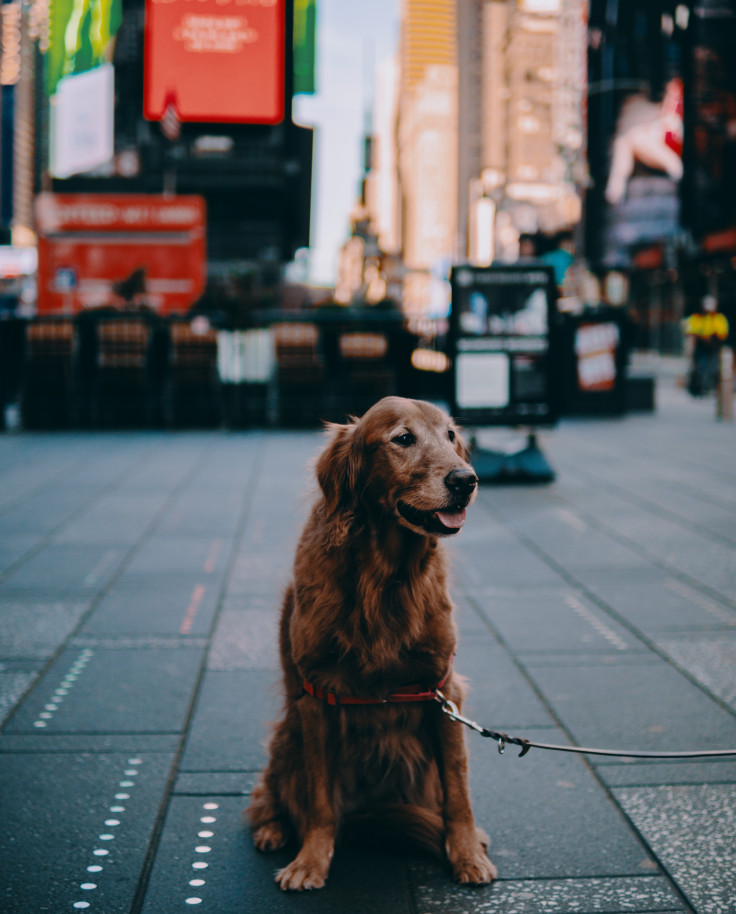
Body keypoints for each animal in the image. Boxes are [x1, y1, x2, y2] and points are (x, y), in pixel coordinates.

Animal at [247, 396, 494, 888]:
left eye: (451, 436)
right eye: (403, 438)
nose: (466, 479)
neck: (386, 580)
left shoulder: (443, 690)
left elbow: (458, 791)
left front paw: (466, 852)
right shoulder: (317, 698)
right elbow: (319, 801)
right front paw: (311, 860)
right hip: (287, 737)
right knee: (272, 793)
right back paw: (272, 828)